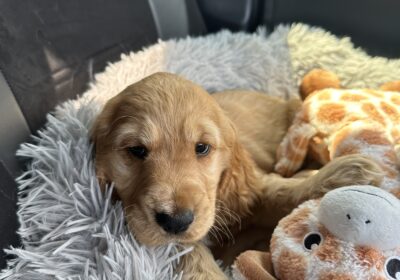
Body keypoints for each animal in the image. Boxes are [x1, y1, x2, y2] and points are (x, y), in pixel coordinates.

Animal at [91, 72, 384, 278]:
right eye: (136, 150)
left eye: (202, 148)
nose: (176, 221)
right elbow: (186, 248)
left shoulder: (250, 187)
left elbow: (280, 191)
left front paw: (348, 179)